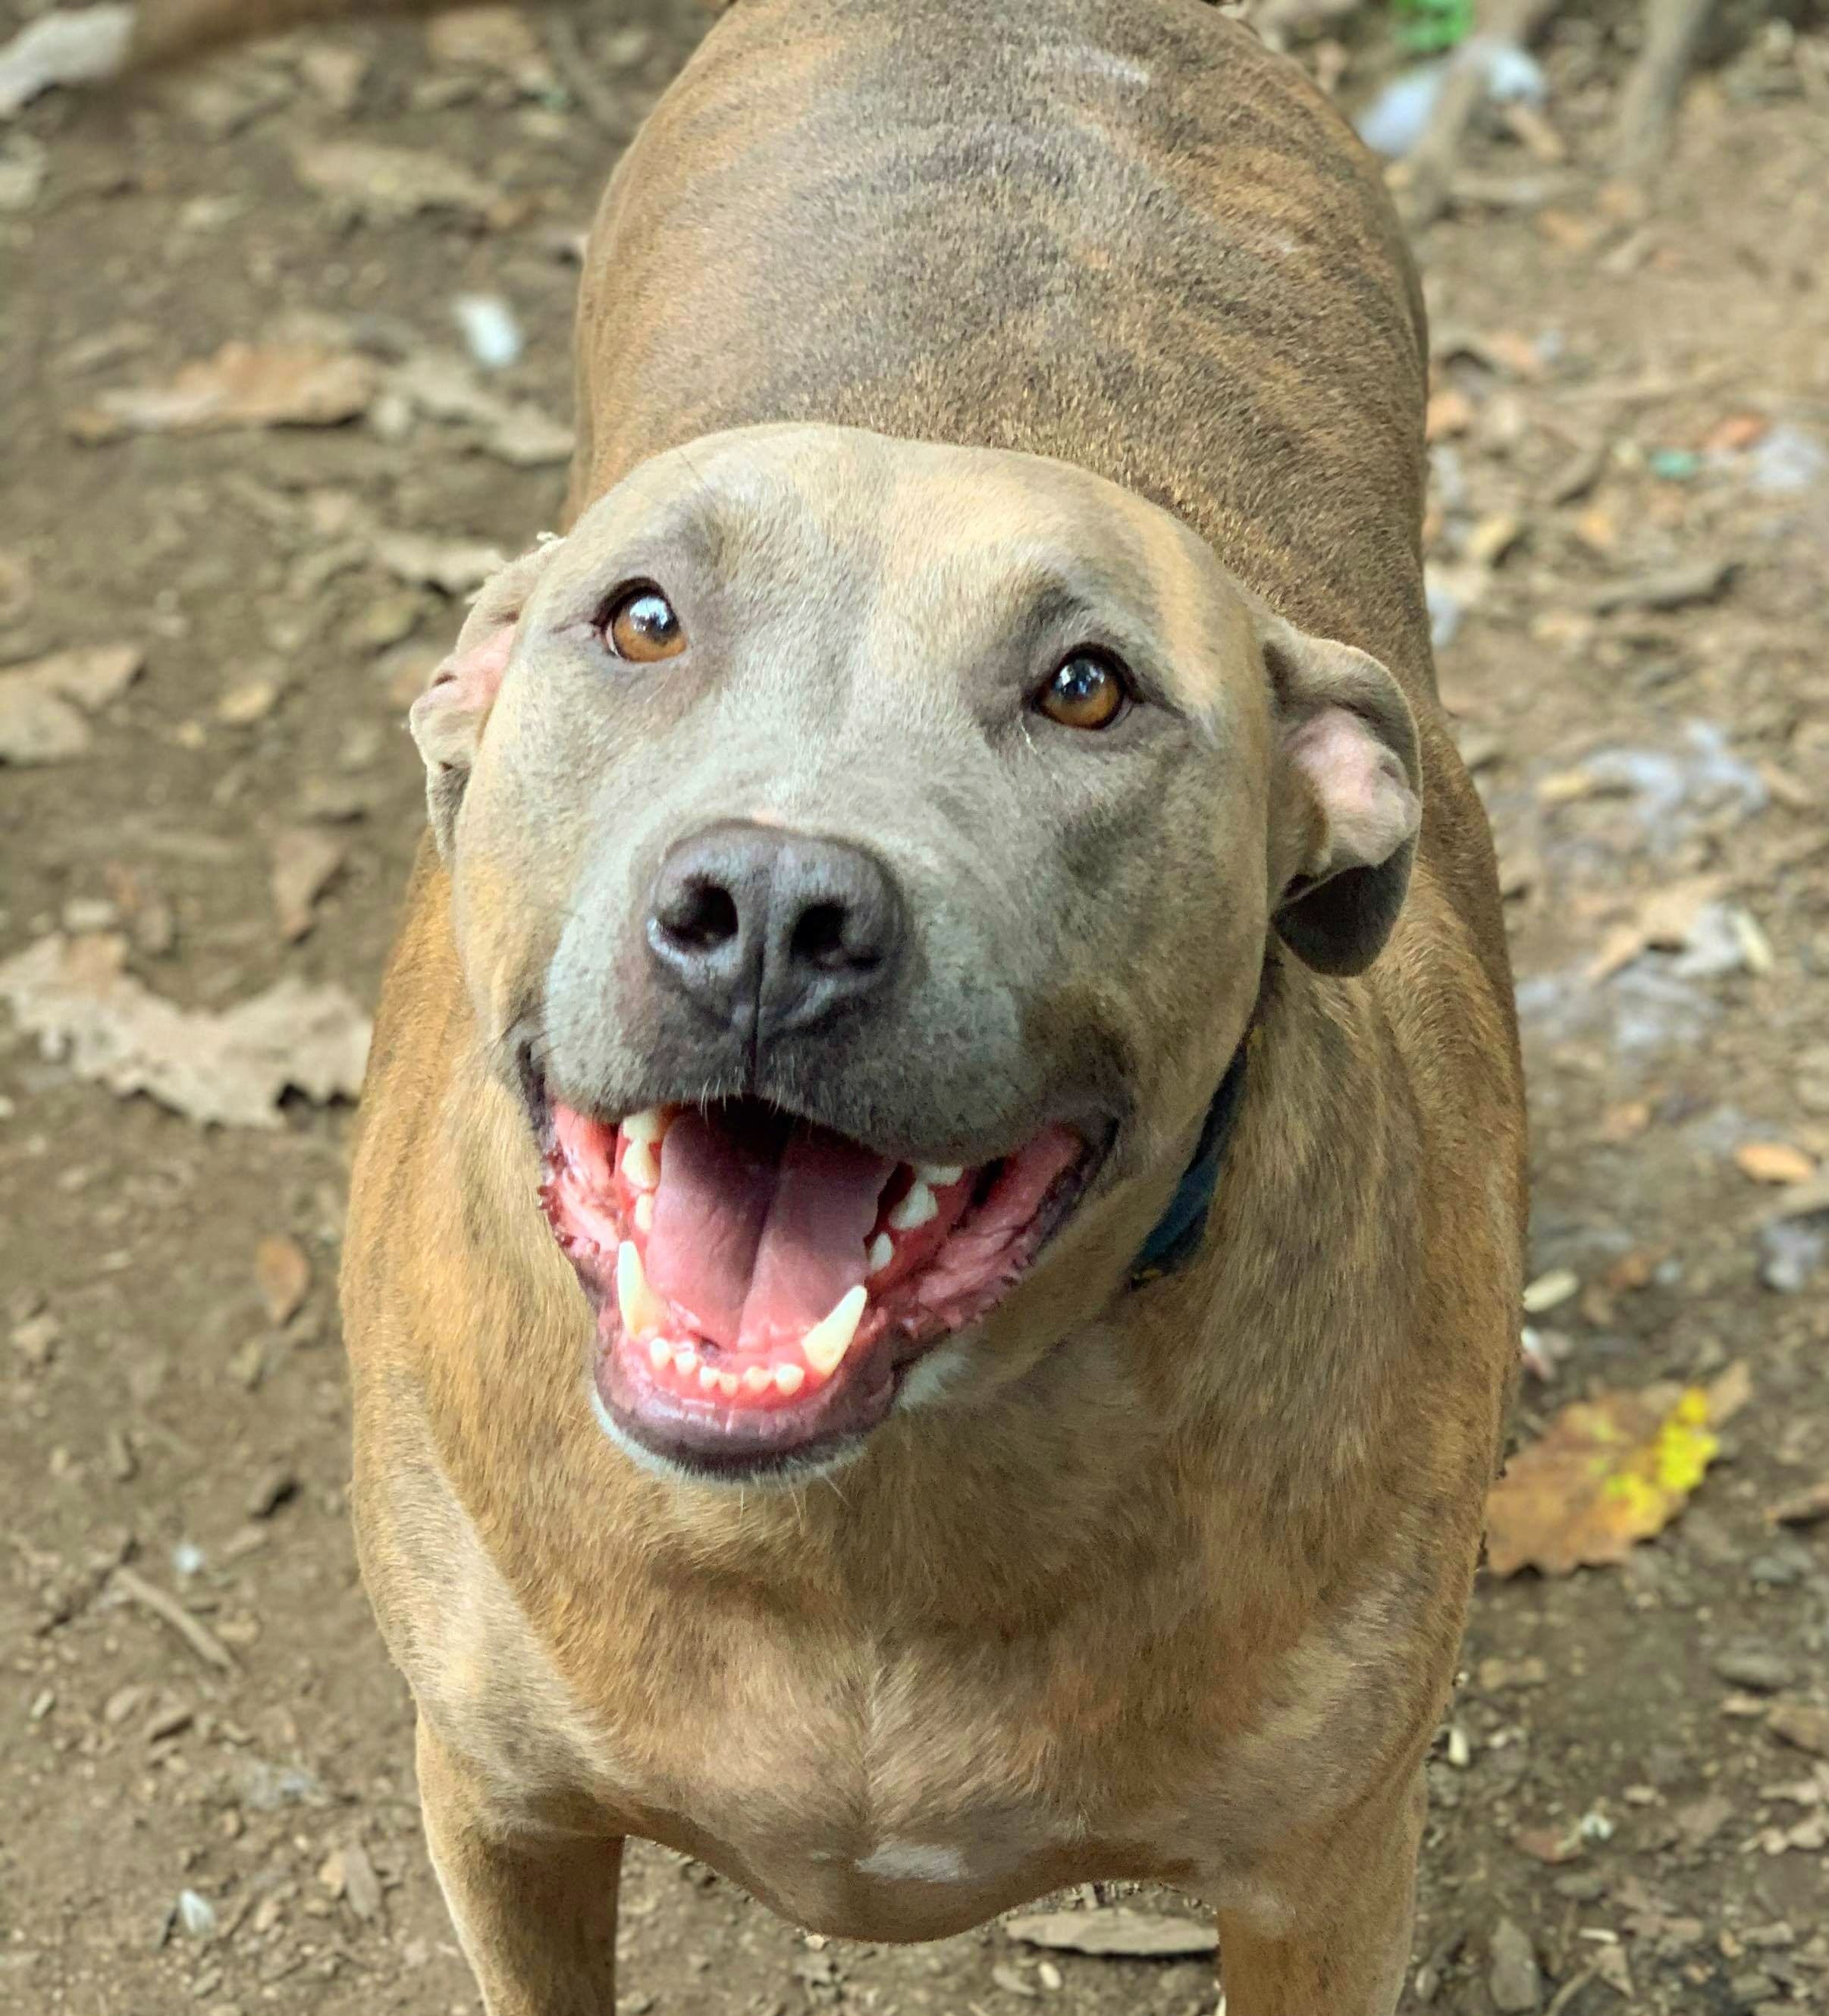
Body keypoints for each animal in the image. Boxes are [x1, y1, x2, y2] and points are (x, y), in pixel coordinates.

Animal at [42, 0, 1533, 2008]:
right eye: (642, 619)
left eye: (1088, 685)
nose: (768, 912)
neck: (861, 1526)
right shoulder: (498, 1808)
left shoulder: (1324, 1878)